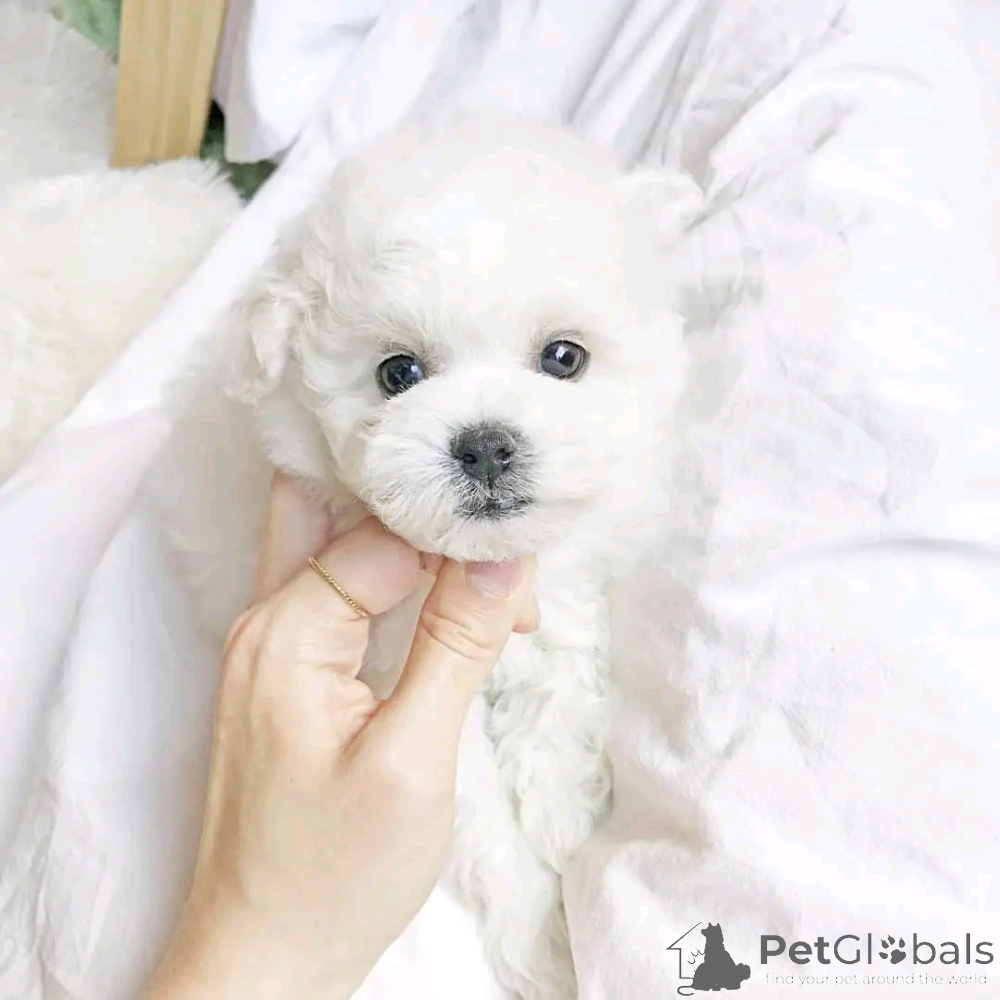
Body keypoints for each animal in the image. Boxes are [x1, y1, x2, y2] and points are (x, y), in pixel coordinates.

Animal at [149, 111, 701, 999]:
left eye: (565, 357)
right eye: (397, 372)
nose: (485, 445)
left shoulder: (555, 581)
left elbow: (561, 677)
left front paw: (562, 807)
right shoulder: (397, 699)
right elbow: (477, 819)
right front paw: (543, 944)